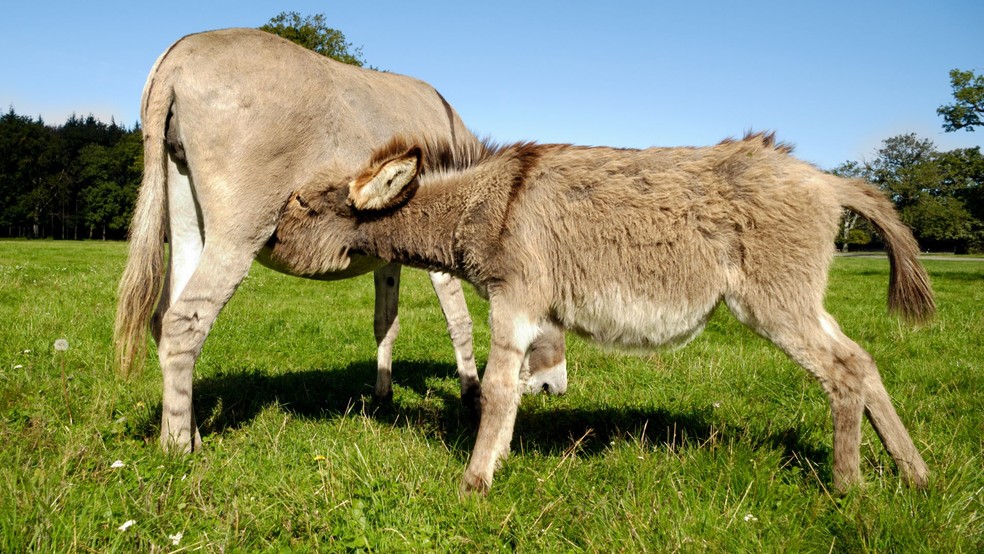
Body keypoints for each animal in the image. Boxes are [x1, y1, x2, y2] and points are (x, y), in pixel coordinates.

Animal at [270, 133, 936, 492]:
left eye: (302, 204)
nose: (266, 240)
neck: (489, 203)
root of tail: (827, 180)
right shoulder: (526, 308)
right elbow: (514, 388)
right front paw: (498, 461)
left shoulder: (516, 298)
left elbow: (498, 389)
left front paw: (474, 483)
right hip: (797, 300)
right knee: (862, 360)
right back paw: (914, 475)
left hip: (774, 304)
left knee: (842, 371)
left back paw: (847, 488)